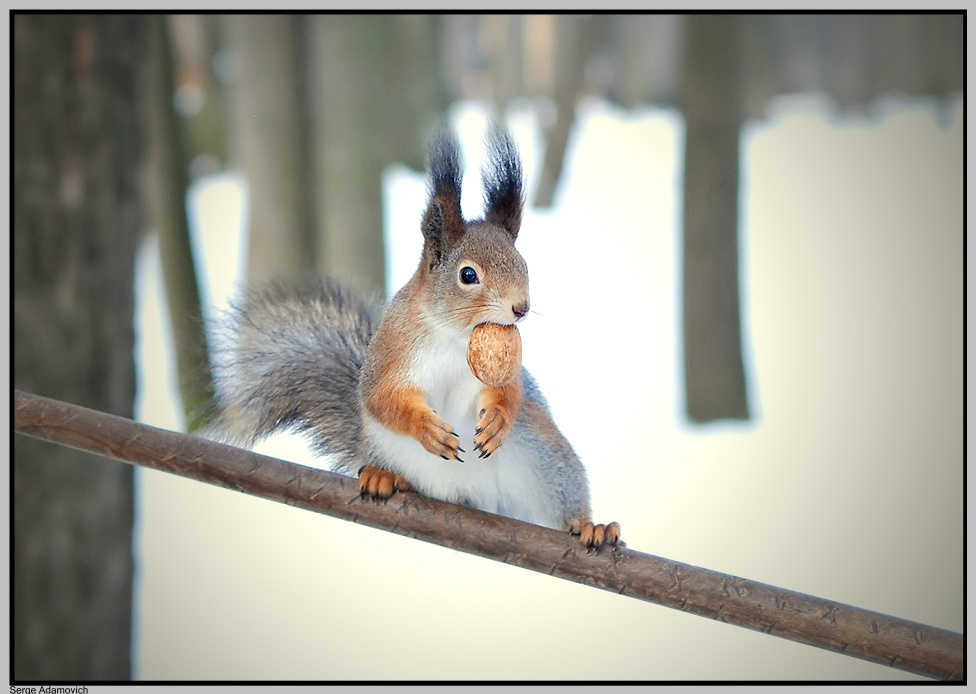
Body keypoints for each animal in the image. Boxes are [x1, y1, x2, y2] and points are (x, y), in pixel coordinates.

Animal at [212, 126, 620, 548]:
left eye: (523, 264)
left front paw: (497, 420)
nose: (520, 308)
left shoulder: (507, 371)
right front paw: (426, 428)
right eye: (468, 274)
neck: (456, 336)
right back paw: (385, 477)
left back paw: (589, 526)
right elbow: (382, 398)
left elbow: (510, 393)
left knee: (560, 505)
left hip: (546, 458)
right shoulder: (391, 353)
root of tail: (472, 497)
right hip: (394, 450)